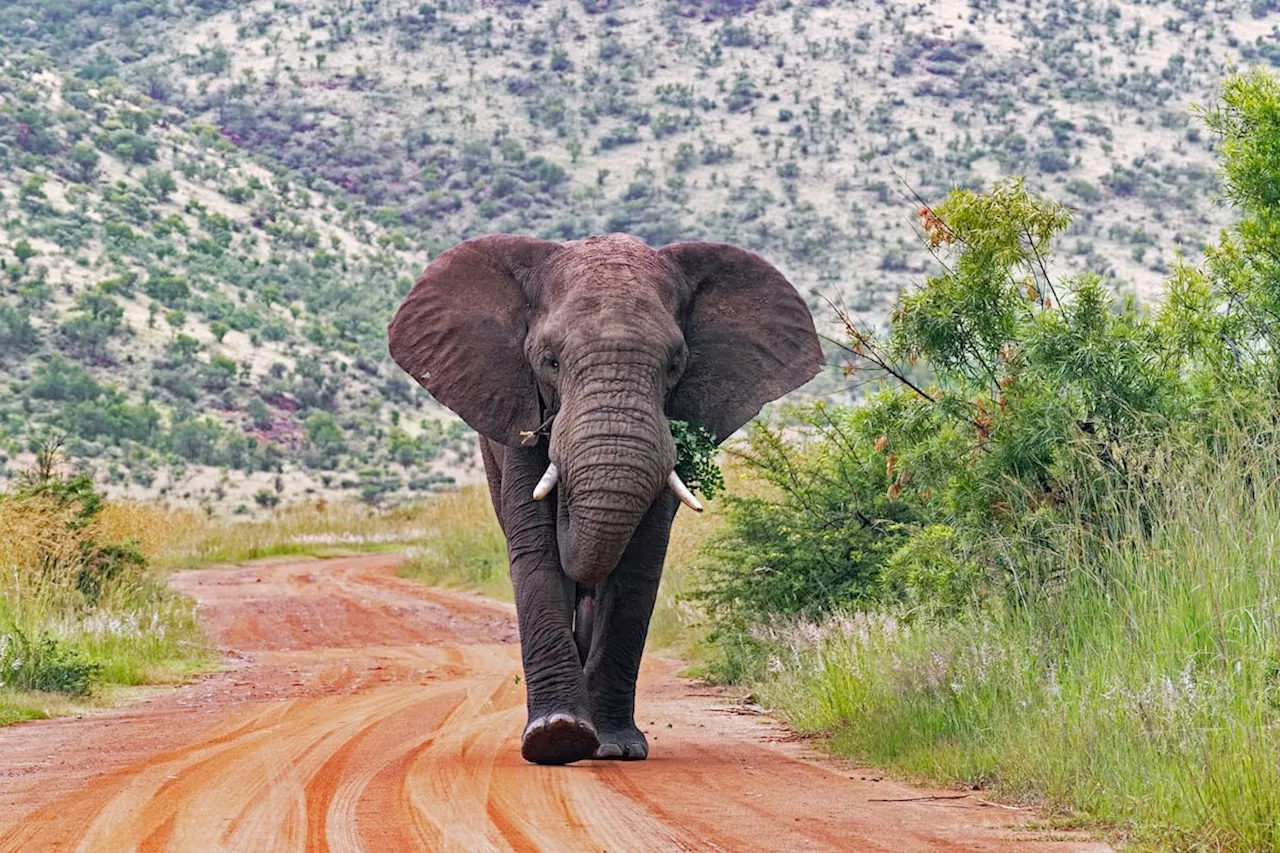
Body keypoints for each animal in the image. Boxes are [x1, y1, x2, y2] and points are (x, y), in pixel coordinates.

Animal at [384, 233, 819, 763]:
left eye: (675, 365)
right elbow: (537, 551)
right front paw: (557, 738)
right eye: (549, 360)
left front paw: (614, 748)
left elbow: (638, 563)